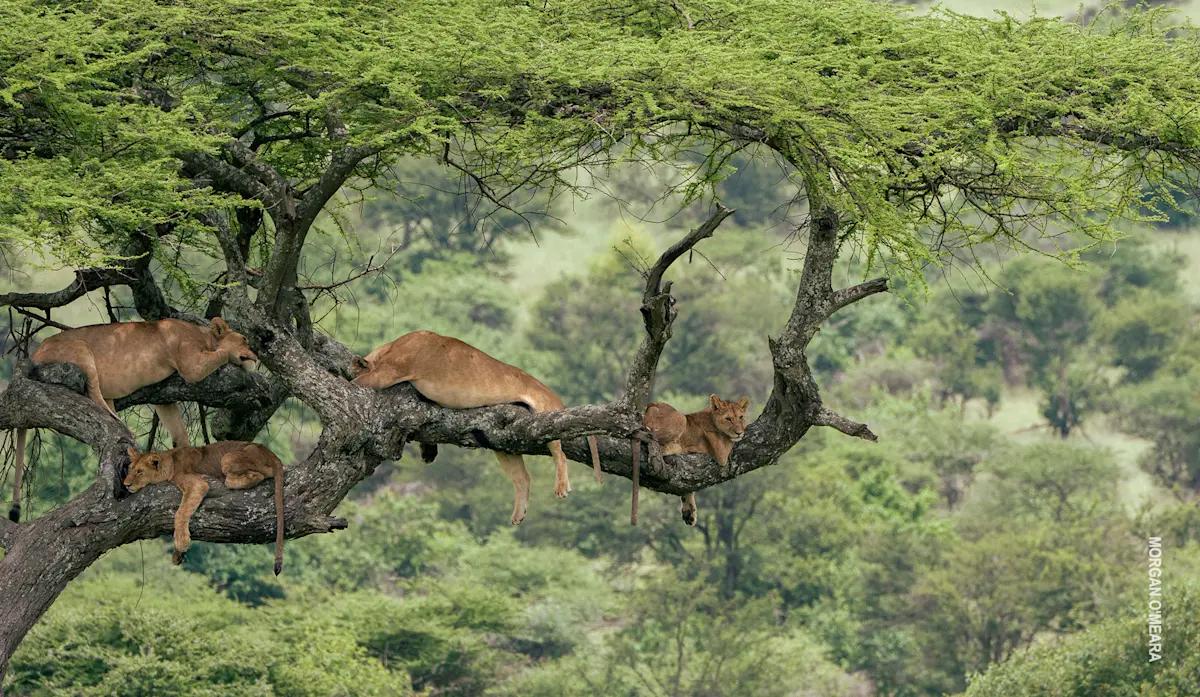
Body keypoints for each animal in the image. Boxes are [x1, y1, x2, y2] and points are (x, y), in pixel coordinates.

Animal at [9, 317, 258, 522]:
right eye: (245, 340)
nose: (256, 358)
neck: (203, 336)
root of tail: (34, 354)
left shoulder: (164, 399)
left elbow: (179, 432)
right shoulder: (191, 367)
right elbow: (222, 353)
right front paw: (230, 353)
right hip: (81, 347)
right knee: (94, 394)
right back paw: (119, 422)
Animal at [124, 440, 285, 575]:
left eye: (139, 471)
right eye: (130, 468)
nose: (126, 484)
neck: (171, 461)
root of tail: (272, 455)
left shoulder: (197, 484)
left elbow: (181, 513)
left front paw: (182, 543)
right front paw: (177, 555)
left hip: (228, 457)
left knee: (258, 475)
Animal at [349, 330, 602, 526]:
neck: (388, 349)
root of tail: (556, 398)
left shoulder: (390, 372)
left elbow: (355, 383)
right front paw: (428, 451)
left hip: (543, 415)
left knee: (558, 451)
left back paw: (561, 487)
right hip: (505, 441)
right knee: (523, 477)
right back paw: (518, 514)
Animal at [639, 394, 749, 526]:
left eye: (741, 417)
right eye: (728, 419)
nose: (739, 433)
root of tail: (650, 406)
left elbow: (686, 487)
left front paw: (689, 512)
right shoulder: (721, 453)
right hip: (681, 418)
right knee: (655, 442)